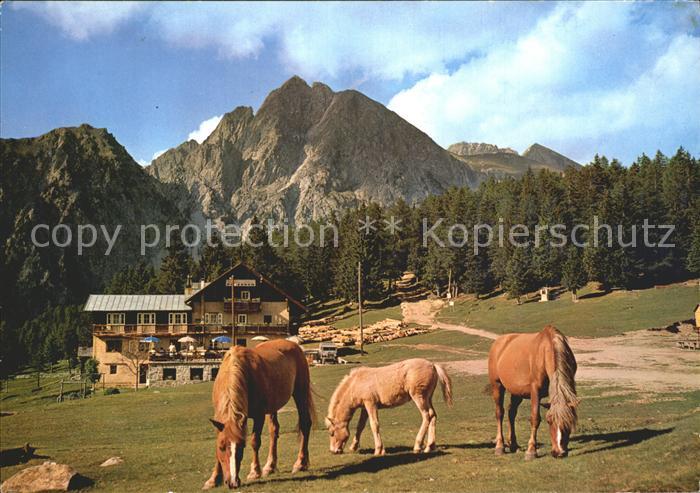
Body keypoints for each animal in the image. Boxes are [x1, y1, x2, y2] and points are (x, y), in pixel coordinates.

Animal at [203, 339, 315, 490]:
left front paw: (254, 472)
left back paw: (300, 463)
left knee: (305, 424)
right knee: (274, 430)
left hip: (300, 392)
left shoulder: (259, 415)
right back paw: (270, 466)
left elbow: (255, 442)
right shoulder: (219, 420)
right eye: (222, 447)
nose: (233, 482)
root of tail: (294, 344)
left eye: (241, 447)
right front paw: (213, 479)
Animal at [487, 325, 578, 460]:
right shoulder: (535, 390)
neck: (546, 350)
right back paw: (500, 446)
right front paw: (531, 451)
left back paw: (513, 444)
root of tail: (499, 342)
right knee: (500, 413)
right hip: (497, 385)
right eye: (549, 421)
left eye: (568, 422)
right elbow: (535, 418)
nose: (559, 452)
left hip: (517, 392)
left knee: (511, 413)